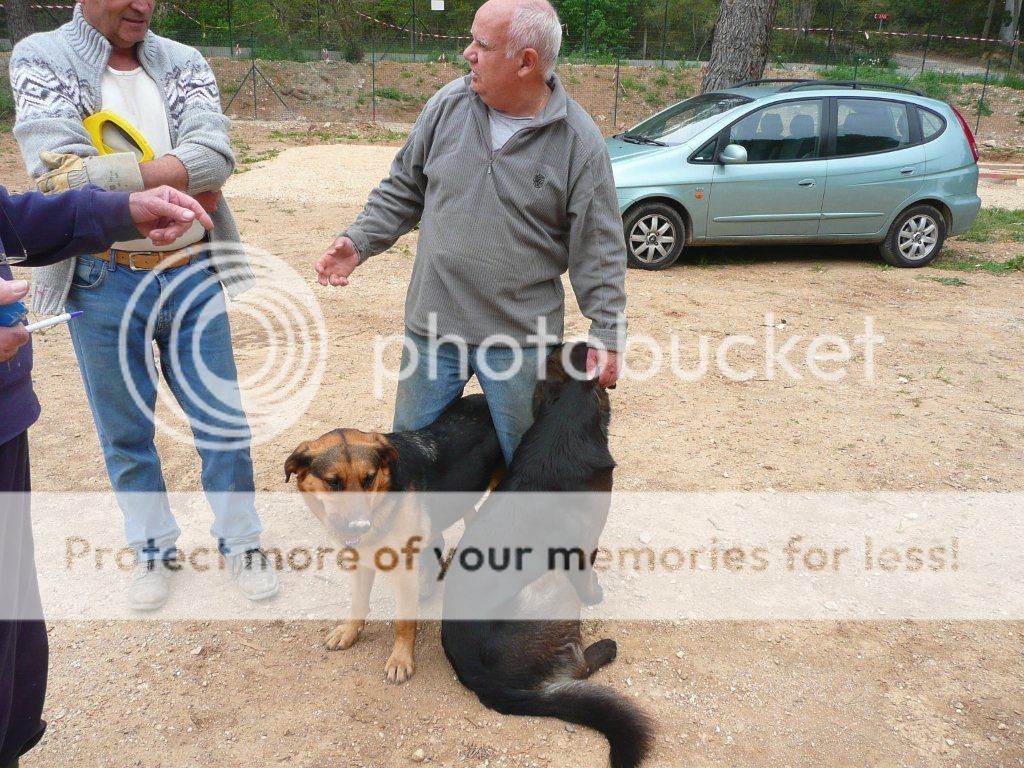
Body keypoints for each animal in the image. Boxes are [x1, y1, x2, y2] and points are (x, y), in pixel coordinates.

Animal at [284, 397, 503, 684]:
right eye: (333, 482)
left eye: (368, 478)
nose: (360, 525)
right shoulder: (361, 562)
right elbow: (357, 601)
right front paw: (349, 631)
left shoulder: (403, 571)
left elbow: (403, 622)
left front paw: (401, 659)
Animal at [442, 348, 651, 768]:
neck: (562, 422)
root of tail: (483, 684)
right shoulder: (583, 547)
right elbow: (588, 579)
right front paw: (597, 593)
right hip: (553, 585)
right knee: (579, 667)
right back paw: (604, 649)